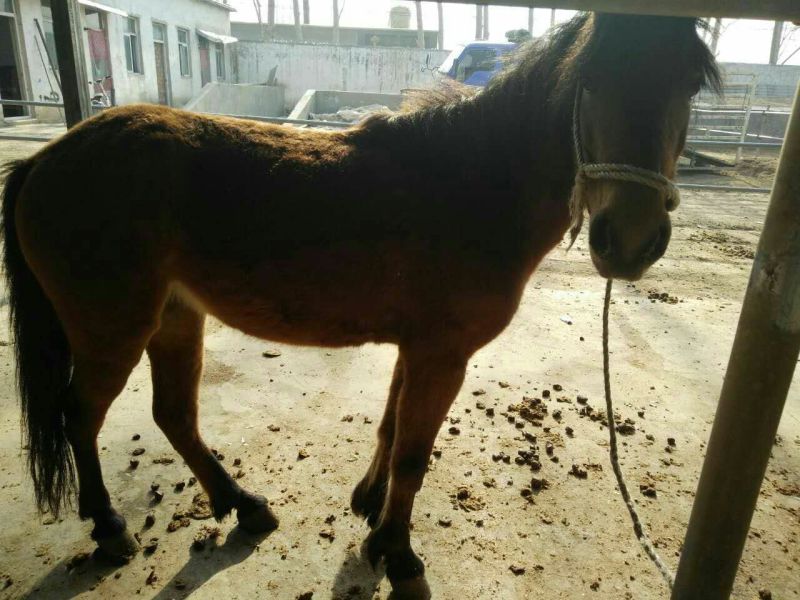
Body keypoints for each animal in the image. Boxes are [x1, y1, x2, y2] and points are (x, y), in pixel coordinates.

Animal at [1, 12, 718, 595]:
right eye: (591, 79)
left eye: (690, 84)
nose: (630, 241)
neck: (473, 185)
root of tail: (46, 159)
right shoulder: (442, 354)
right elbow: (412, 451)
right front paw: (397, 553)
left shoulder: (419, 348)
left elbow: (391, 428)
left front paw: (371, 509)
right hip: (114, 329)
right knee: (79, 416)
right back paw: (110, 528)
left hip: (176, 319)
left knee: (173, 415)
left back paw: (244, 506)